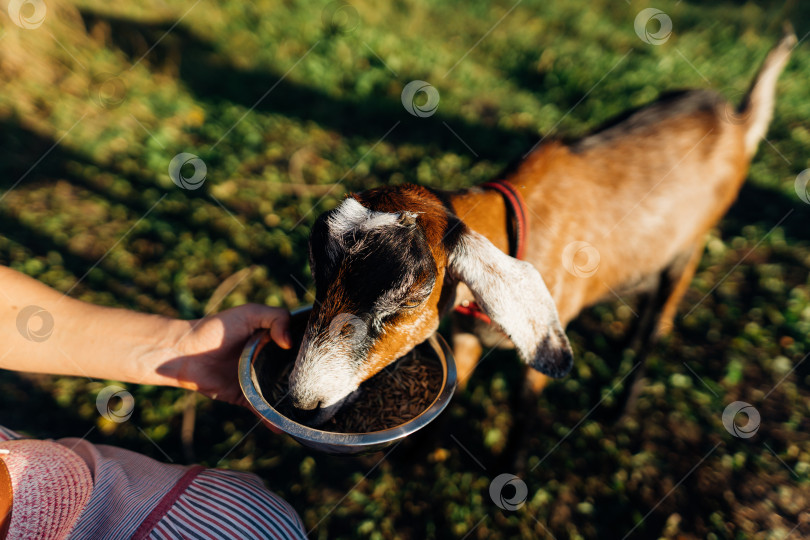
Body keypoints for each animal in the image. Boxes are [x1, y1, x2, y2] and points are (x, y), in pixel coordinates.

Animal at [288, 31, 792, 424]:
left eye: (413, 297)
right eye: (316, 277)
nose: (302, 402)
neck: (513, 228)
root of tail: (737, 120)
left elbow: (523, 410)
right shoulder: (466, 336)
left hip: (690, 251)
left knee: (658, 327)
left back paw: (621, 411)